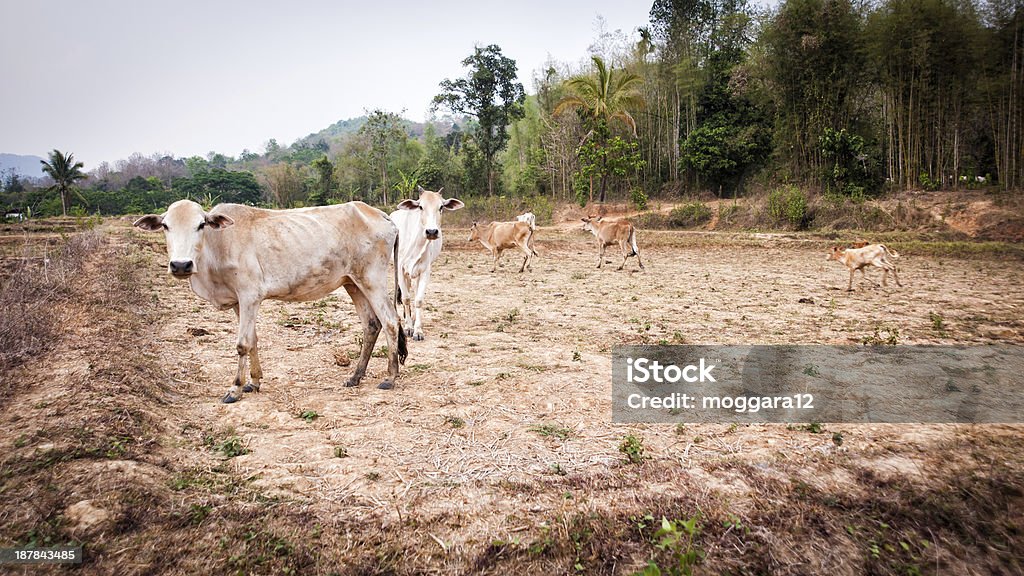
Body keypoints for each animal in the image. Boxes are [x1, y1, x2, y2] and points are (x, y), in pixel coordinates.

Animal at [134, 199, 405, 401]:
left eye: (201, 225)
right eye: (165, 226)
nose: (181, 265)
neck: (218, 244)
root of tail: (384, 216)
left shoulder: (249, 296)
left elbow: (242, 344)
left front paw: (235, 389)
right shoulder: (239, 302)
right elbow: (252, 340)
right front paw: (253, 383)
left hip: (372, 279)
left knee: (391, 321)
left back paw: (390, 377)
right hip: (352, 283)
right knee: (371, 325)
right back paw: (355, 376)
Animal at [391, 186, 464, 338]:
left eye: (441, 207)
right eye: (420, 207)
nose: (431, 231)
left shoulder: (424, 271)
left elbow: (418, 300)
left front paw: (418, 330)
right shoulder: (400, 269)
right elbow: (406, 298)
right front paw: (408, 327)